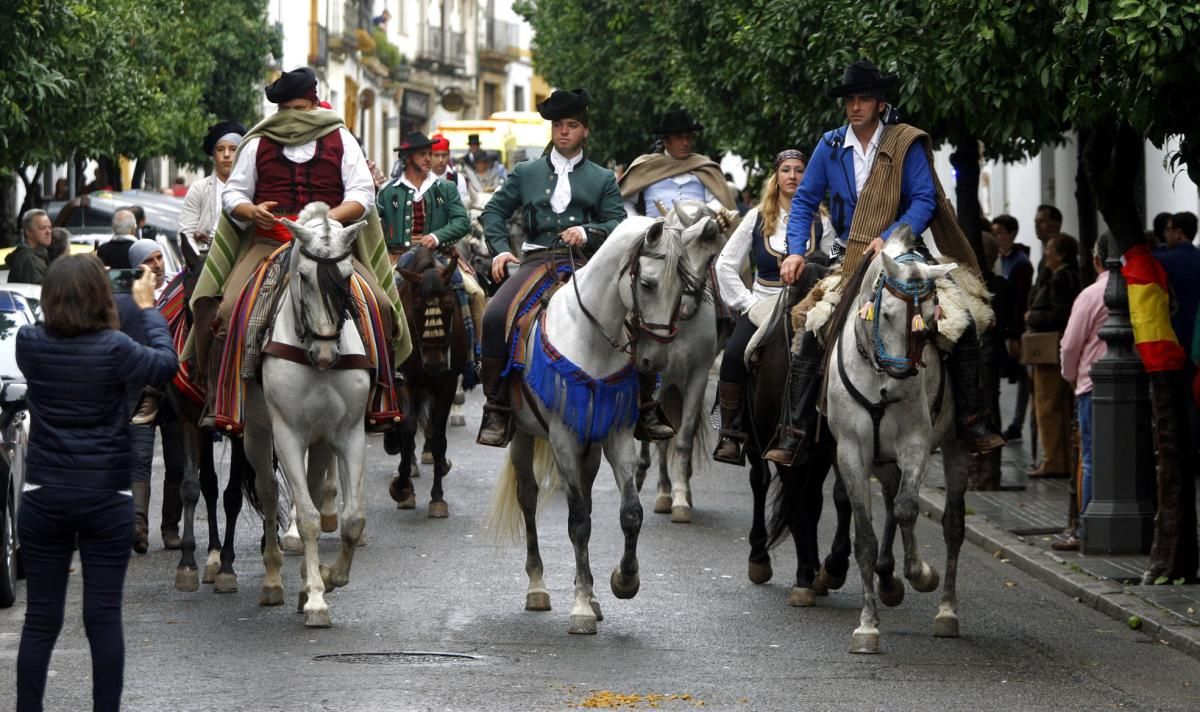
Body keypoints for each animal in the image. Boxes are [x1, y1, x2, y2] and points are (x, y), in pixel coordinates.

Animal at [241, 201, 372, 629]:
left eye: (346, 276)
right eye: (303, 277)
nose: (327, 353)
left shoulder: (348, 434)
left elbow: (352, 518)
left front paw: (329, 578)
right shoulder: (288, 436)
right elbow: (309, 519)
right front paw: (315, 598)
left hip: (321, 440)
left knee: (313, 490)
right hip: (257, 436)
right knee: (269, 494)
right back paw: (272, 579)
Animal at [391, 246, 470, 516]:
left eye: (449, 306)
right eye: (416, 308)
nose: (434, 364)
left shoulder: (446, 384)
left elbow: (437, 438)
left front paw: (437, 498)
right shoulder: (405, 381)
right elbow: (407, 428)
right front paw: (403, 488)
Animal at [633, 199, 724, 521]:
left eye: (711, 256)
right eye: (681, 256)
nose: (684, 306)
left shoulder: (698, 376)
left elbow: (682, 437)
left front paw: (682, 499)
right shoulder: (657, 375)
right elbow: (658, 437)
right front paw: (663, 493)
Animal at [825, 231, 974, 648]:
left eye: (933, 315)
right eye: (887, 313)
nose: (899, 380)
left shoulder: (915, 445)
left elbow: (908, 508)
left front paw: (921, 573)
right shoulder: (850, 452)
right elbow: (865, 536)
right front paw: (867, 625)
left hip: (955, 448)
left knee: (953, 525)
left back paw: (946, 611)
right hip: (881, 459)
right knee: (890, 501)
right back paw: (889, 580)